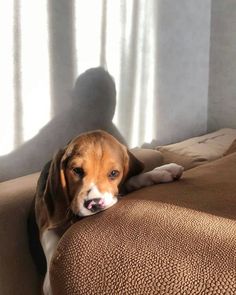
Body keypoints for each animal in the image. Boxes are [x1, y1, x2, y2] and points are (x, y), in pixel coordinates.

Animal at [28, 131, 183, 294]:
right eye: (77, 170)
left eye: (114, 173)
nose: (94, 203)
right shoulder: (45, 223)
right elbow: (51, 240)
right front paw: (49, 284)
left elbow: (131, 181)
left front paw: (161, 171)